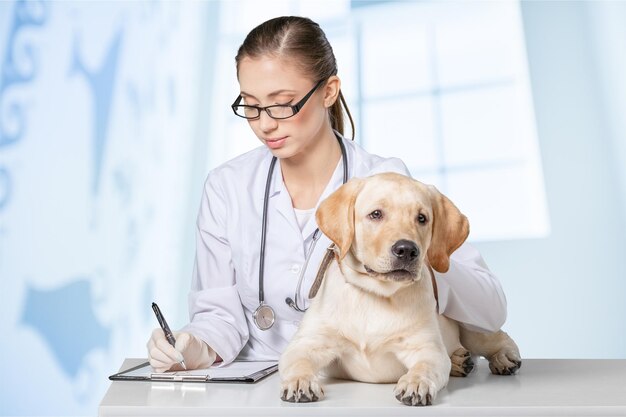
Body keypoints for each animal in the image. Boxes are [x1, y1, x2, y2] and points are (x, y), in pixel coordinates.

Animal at [280, 172, 520, 406]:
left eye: (422, 218)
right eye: (376, 214)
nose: (407, 250)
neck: (375, 294)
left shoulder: (427, 349)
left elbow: (425, 367)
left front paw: (416, 383)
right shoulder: (307, 343)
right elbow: (298, 362)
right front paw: (300, 381)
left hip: (472, 320)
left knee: (497, 336)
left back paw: (503, 357)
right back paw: (459, 361)